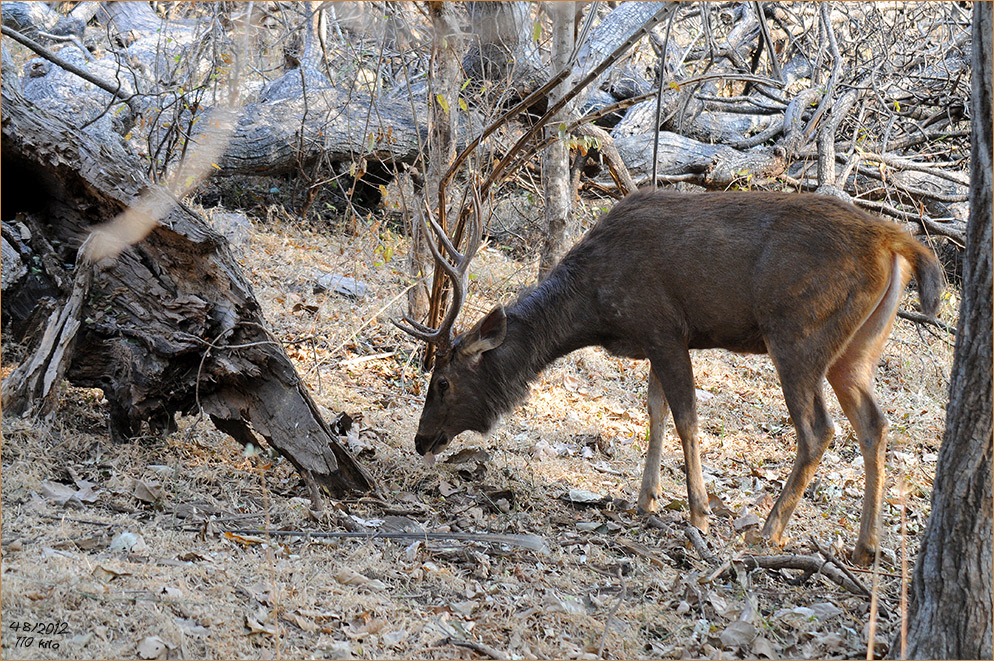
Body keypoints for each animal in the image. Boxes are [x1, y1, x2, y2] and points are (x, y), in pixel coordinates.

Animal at [396, 188, 936, 564]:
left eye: (442, 382)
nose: (421, 440)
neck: (594, 307)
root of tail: (897, 241)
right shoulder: (653, 339)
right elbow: (654, 411)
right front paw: (646, 501)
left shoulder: (664, 328)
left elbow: (685, 417)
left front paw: (699, 513)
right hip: (858, 349)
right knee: (875, 424)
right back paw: (866, 546)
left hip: (798, 332)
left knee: (819, 429)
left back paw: (768, 530)